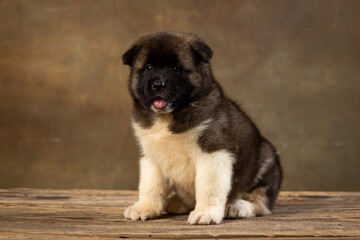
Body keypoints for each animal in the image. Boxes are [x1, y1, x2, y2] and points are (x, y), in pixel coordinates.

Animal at [122, 31, 282, 224]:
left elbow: (208, 187)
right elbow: (150, 185)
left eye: (175, 68)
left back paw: (237, 206)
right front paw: (144, 208)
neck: (168, 117)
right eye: (148, 67)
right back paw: (178, 201)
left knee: (261, 202)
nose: (158, 84)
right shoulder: (151, 156)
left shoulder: (213, 153)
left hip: (266, 160)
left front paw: (206, 213)